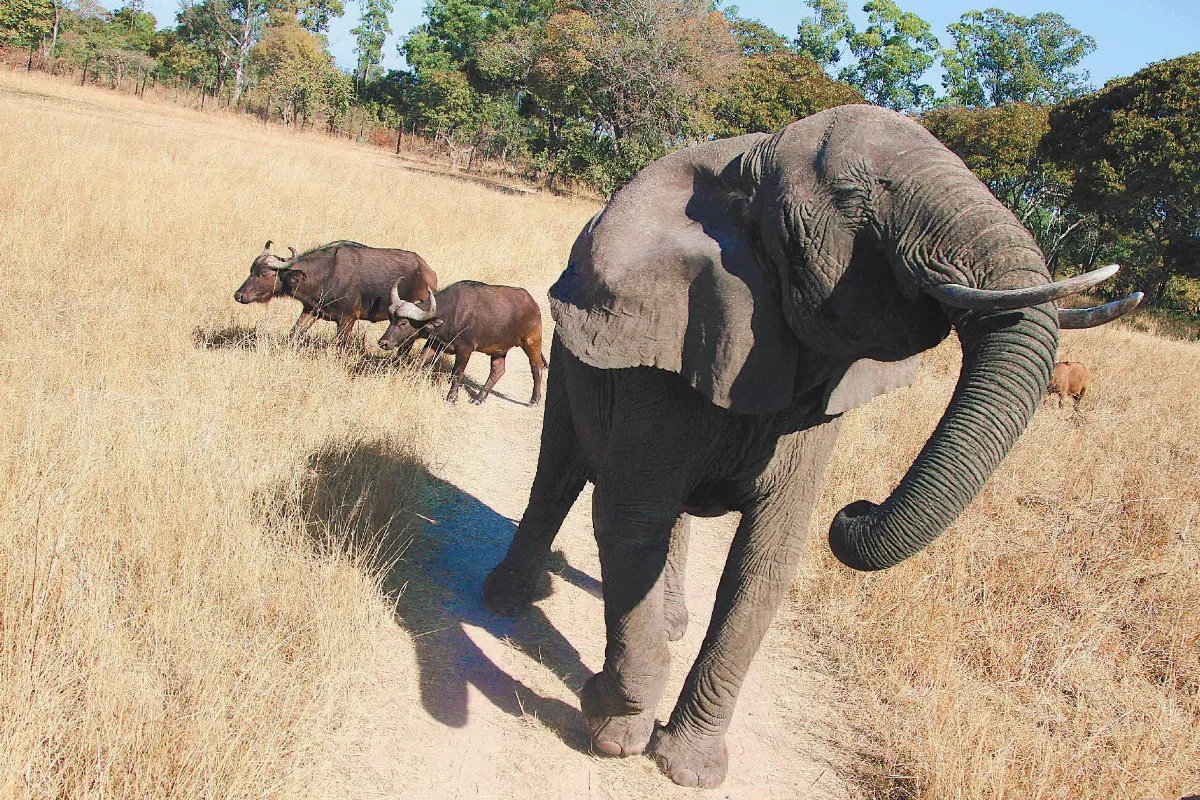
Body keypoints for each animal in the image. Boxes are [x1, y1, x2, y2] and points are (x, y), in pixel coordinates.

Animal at [481, 105, 1142, 788]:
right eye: (856, 195)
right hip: (572, 355)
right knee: (560, 470)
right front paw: (611, 729)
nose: (855, 510)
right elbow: (629, 520)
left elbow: (769, 554)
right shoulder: (664, 339)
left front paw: (689, 770)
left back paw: (671, 624)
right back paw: (508, 600)